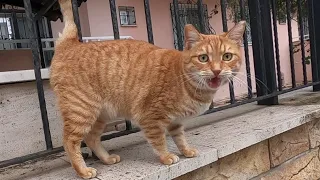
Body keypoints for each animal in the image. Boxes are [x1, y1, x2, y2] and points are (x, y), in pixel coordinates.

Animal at [50, 0, 246, 178]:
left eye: (227, 56)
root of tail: (71, 43)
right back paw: (83, 171)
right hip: (82, 111)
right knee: (70, 141)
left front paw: (185, 150)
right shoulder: (150, 117)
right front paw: (166, 156)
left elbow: (179, 137)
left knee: (91, 138)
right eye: (204, 58)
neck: (187, 82)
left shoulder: (175, 121)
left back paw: (106, 159)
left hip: (101, 115)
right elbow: (158, 140)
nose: (216, 70)